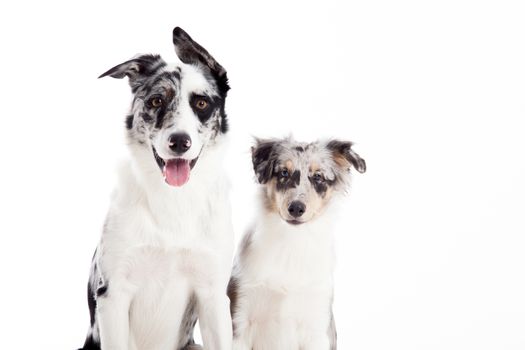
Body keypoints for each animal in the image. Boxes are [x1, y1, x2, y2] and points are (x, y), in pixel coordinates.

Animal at [78, 27, 233, 350]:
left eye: (201, 103)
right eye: (156, 101)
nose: (179, 141)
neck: (173, 200)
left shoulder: (213, 295)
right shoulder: (113, 294)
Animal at [227, 137, 366, 350]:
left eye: (318, 177)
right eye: (284, 172)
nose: (296, 208)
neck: (291, 244)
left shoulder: (317, 328)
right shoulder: (240, 319)